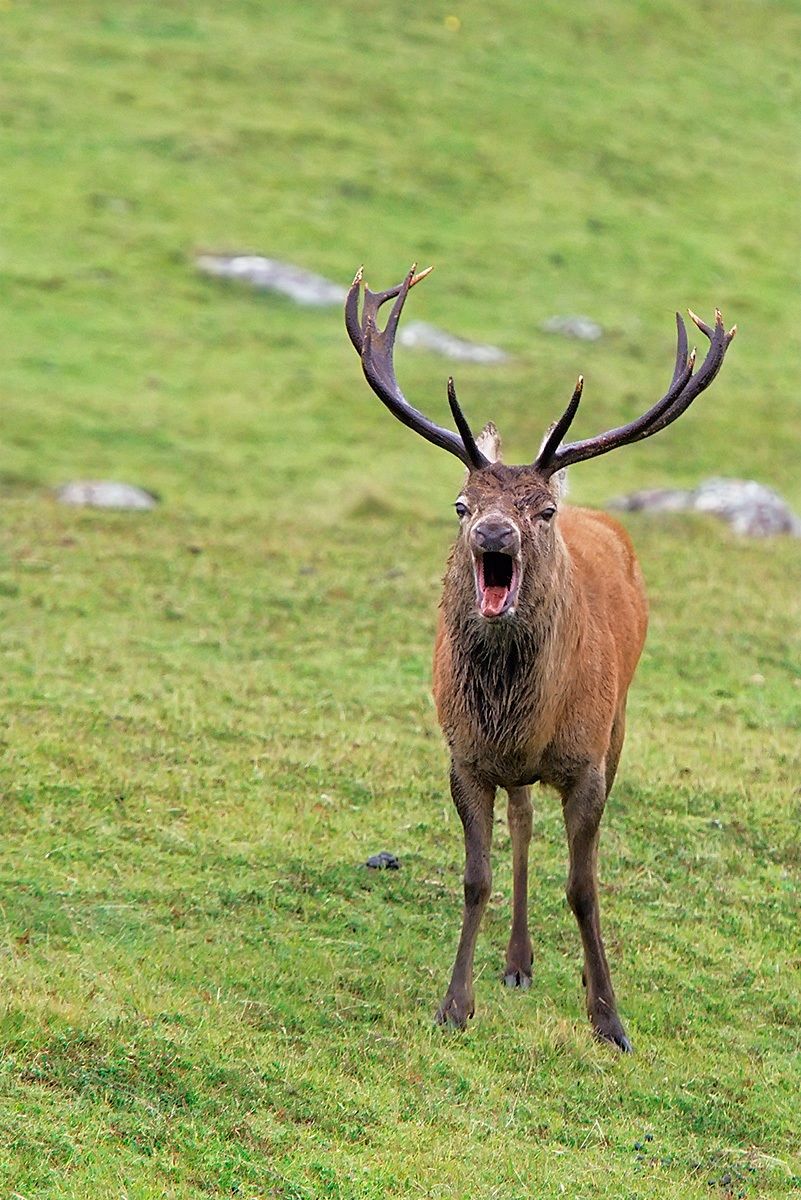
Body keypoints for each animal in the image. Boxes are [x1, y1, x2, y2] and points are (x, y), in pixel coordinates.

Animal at [345, 265, 735, 1051]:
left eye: (541, 512)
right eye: (461, 504)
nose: (495, 533)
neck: (519, 717)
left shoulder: (586, 761)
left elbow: (584, 885)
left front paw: (608, 1017)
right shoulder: (465, 755)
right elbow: (477, 878)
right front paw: (454, 1004)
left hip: (619, 722)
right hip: (516, 769)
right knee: (523, 822)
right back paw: (517, 960)